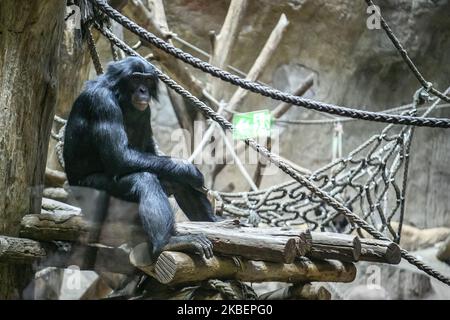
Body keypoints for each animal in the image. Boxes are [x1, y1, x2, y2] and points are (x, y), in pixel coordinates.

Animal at [63, 55, 216, 260]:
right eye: (135, 79)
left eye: (148, 80)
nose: (143, 90)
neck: (120, 95)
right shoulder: (102, 103)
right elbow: (120, 156)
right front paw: (190, 170)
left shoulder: (145, 111)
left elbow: (147, 150)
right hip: (92, 191)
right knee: (144, 179)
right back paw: (167, 242)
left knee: (174, 179)